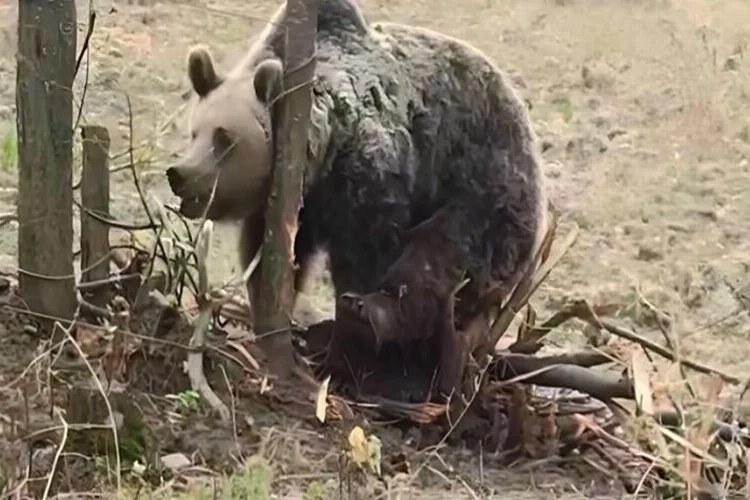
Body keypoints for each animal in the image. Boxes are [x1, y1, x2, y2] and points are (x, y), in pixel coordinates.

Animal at [167, 0, 548, 400]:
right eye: (195, 132)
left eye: (224, 139)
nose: (181, 174)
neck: (318, 156)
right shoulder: (291, 206)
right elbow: (271, 257)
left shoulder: (368, 172)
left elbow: (366, 252)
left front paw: (348, 351)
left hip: (489, 185)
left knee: (446, 253)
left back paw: (378, 314)